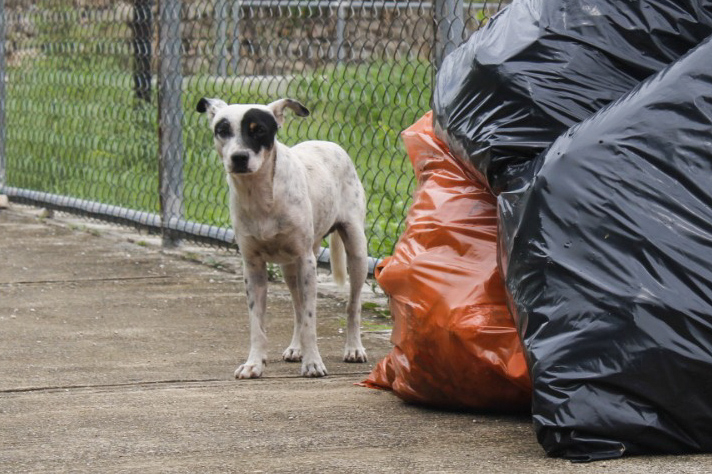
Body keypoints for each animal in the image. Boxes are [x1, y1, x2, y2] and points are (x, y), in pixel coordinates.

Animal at [197, 96, 370, 378]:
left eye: (259, 130)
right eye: (222, 130)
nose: (239, 157)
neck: (259, 194)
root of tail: (330, 143)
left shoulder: (306, 262)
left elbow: (311, 319)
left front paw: (313, 363)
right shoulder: (253, 267)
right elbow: (258, 323)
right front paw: (254, 364)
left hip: (356, 250)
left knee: (352, 305)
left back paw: (354, 348)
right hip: (290, 268)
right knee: (297, 308)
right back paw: (296, 348)